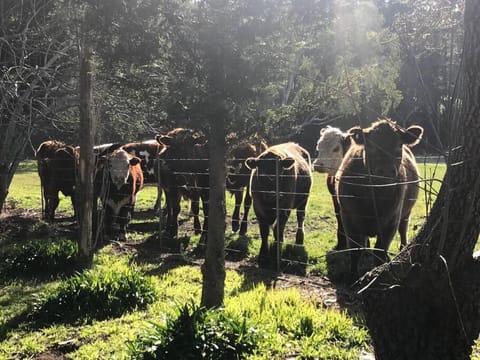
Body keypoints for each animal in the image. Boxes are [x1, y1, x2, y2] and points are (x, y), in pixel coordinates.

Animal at [334, 119, 424, 278]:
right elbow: (355, 251)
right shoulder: (348, 218)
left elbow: (379, 253)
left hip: (406, 212)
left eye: (399, 144)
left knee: (403, 229)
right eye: (370, 145)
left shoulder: (391, 222)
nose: (386, 170)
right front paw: (352, 275)